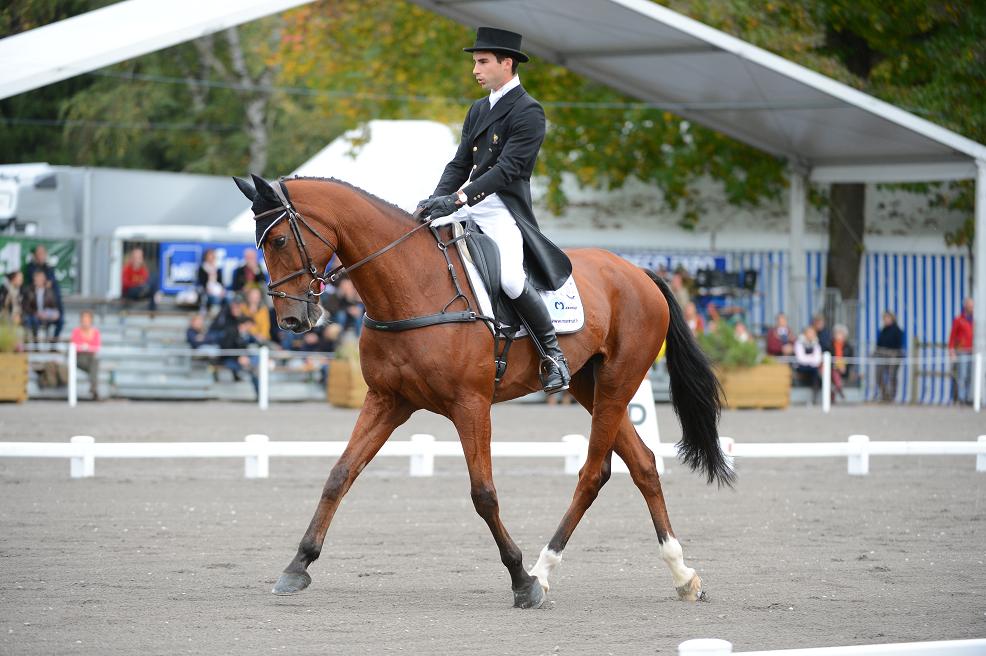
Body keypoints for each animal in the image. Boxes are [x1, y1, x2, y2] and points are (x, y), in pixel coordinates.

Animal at [234, 174, 736, 608]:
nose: (292, 321)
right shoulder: (387, 401)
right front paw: (298, 565)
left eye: (279, 241)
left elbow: (484, 493)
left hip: (617, 382)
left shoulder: (470, 405)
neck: (412, 283)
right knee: (643, 465)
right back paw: (682, 574)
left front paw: (520, 580)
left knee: (594, 473)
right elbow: (340, 474)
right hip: (588, 385)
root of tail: (637, 271)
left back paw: (543, 571)